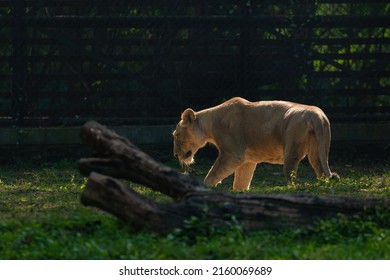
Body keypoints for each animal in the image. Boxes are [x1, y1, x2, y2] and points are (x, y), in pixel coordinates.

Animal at [173, 96, 338, 190]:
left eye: (176, 135)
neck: (209, 125)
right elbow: (241, 181)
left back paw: (301, 187)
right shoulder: (248, 159)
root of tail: (316, 115)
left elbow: (214, 173)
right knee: (321, 171)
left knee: (292, 176)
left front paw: (205, 186)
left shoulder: (233, 154)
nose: (175, 155)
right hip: (319, 149)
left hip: (292, 149)